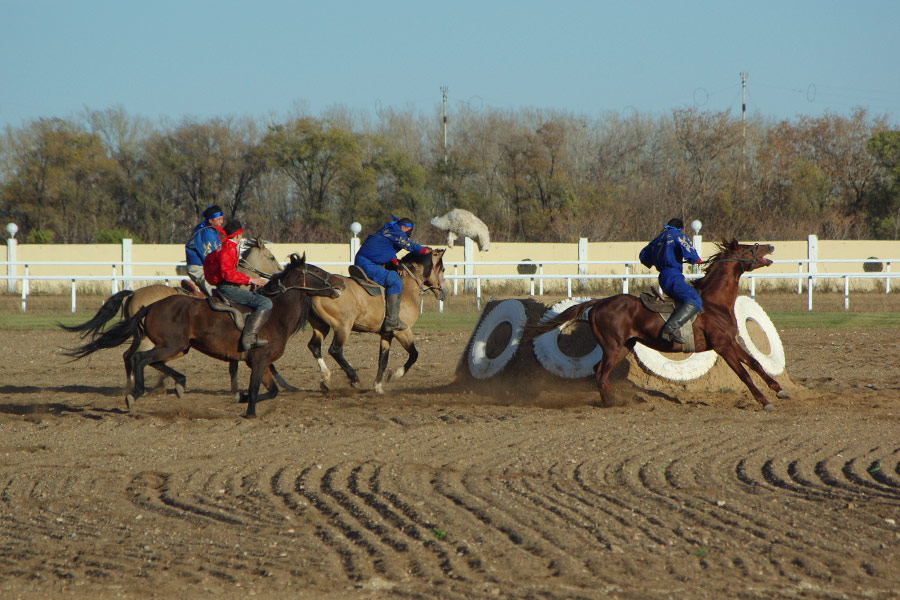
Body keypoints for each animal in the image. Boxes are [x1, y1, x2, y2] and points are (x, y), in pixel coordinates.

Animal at [63, 253, 344, 418]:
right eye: (318, 271)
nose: (340, 283)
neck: (275, 312)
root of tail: (150, 305)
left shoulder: (260, 363)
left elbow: (271, 390)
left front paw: (241, 397)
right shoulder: (259, 359)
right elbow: (255, 388)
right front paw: (249, 410)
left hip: (178, 347)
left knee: (144, 360)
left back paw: (176, 383)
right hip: (170, 345)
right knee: (139, 359)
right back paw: (136, 392)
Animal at [308, 247, 448, 394]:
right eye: (443, 269)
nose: (444, 292)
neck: (407, 287)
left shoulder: (386, 334)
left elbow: (383, 360)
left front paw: (378, 386)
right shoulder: (403, 331)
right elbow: (414, 354)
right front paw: (395, 374)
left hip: (321, 326)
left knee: (314, 346)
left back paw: (326, 379)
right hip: (343, 327)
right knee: (335, 350)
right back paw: (354, 379)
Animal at [524, 241, 792, 410]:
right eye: (749, 248)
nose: (770, 245)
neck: (714, 302)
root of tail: (600, 302)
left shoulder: (730, 342)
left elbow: (755, 363)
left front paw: (778, 390)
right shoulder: (722, 346)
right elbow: (744, 373)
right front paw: (764, 401)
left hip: (623, 347)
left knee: (598, 370)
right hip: (614, 348)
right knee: (600, 373)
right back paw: (611, 404)